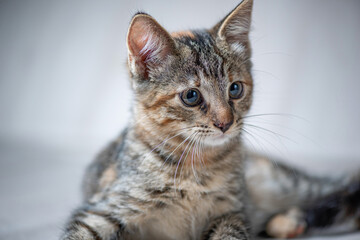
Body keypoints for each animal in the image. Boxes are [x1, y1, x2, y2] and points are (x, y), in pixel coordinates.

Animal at [60, 0, 358, 239]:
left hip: (284, 183)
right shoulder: (104, 208)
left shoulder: (233, 213)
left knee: (345, 188)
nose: (225, 123)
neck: (194, 167)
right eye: (191, 96)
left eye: (235, 89)